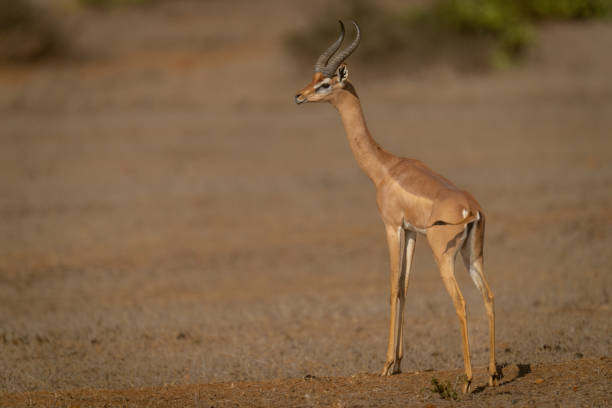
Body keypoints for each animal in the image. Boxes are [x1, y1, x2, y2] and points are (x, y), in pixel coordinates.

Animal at [294, 21, 500, 392]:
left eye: (325, 83)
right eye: (313, 76)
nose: (299, 96)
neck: (385, 167)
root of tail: (471, 210)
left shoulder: (391, 227)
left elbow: (391, 287)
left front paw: (387, 364)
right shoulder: (412, 232)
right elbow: (405, 285)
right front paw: (400, 362)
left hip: (444, 259)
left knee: (461, 303)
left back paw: (466, 380)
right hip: (472, 256)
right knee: (488, 298)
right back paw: (491, 375)